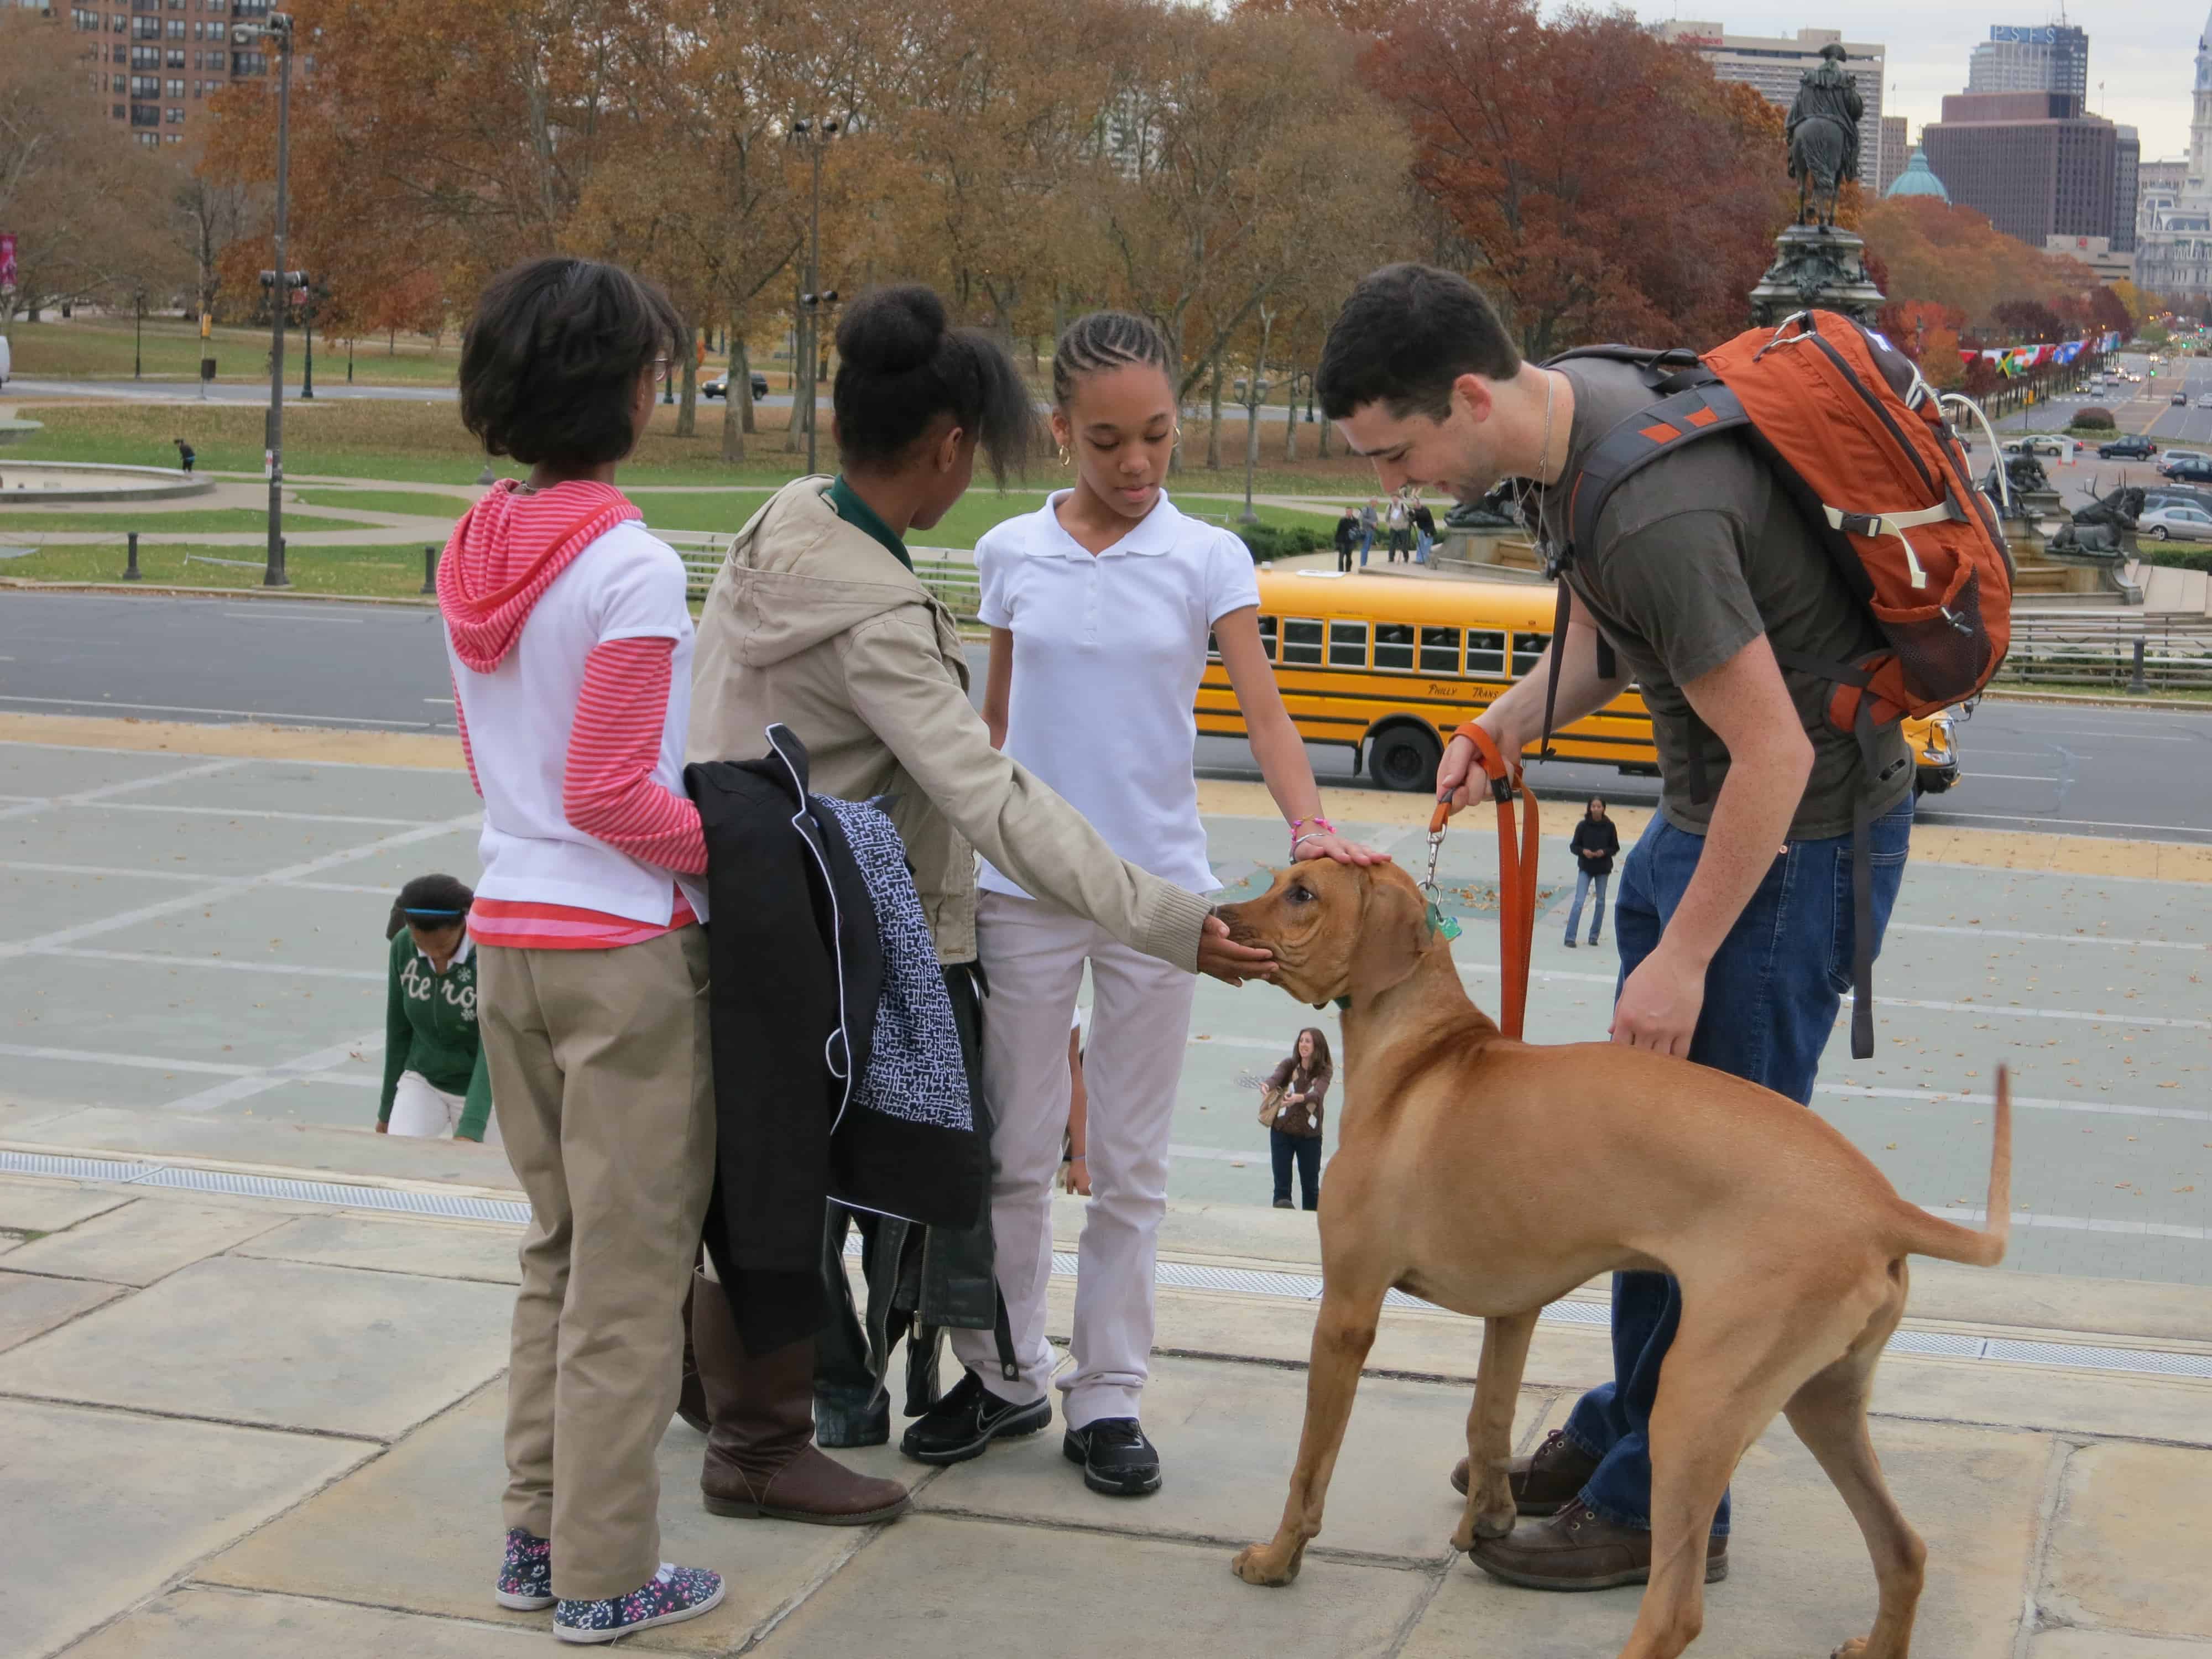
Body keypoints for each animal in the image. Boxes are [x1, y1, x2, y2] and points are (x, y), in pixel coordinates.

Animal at [1221, 858, 2017, 1659]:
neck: (1425, 1052)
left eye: (1302, 893)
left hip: (1695, 1409)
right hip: (1823, 1401)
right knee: (1904, 1549)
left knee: (1678, 1609)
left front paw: (1278, 1559)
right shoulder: (1515, 1310)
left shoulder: (1347, 1311)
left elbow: (1310, 1466)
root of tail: (1881, 1207)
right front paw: (1489, 1518)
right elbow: (1488, 1420)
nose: (1220, 918)